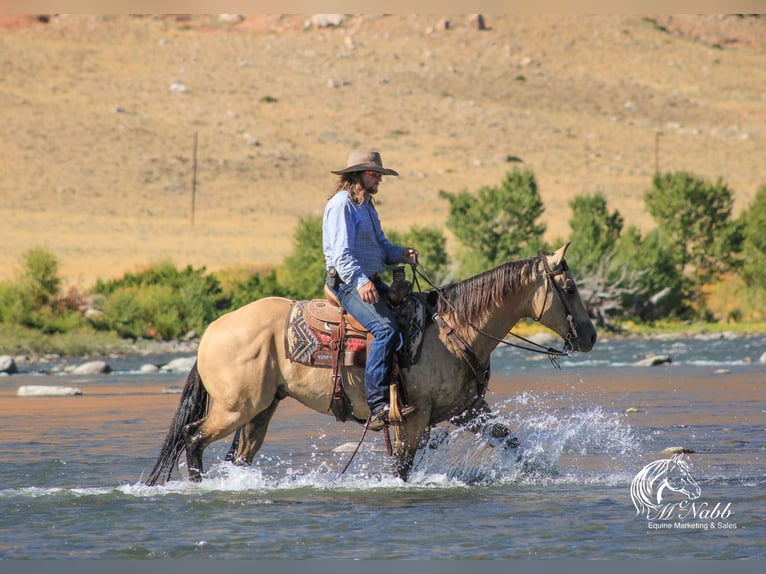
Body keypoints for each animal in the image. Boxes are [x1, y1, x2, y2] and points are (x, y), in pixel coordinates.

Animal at [146, 243, 600, 486]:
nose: (591, 336)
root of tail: (211, 330)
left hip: (261, 409)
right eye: (570, 287)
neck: (455, 331)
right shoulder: (414, 417)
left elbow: (512, 442)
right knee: (192, 437)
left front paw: (545, 475)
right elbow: (402, 468)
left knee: (238, 456)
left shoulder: (467, 410)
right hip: (235, 407)